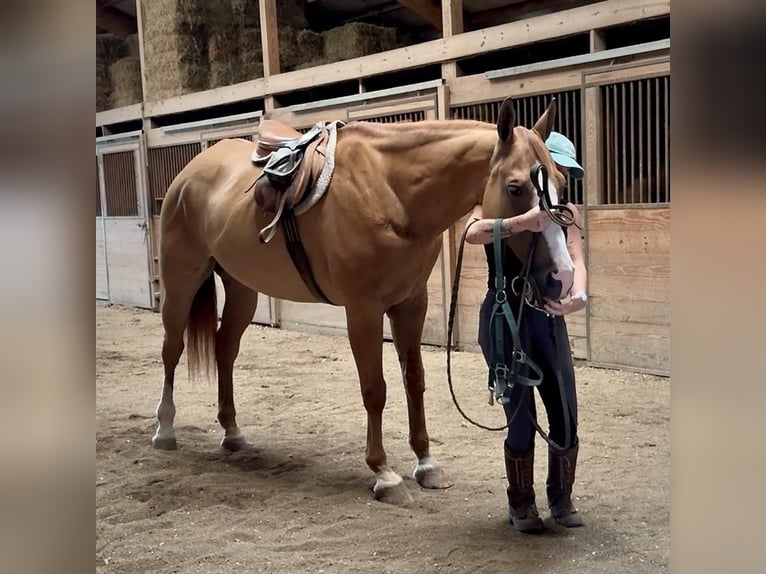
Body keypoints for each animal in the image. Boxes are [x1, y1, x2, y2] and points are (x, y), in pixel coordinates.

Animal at [152, 99, 568, 508]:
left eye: (562, 182)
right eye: (515, 188)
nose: (560, 276)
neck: (391, 190)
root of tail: (188, 174)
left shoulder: (411, 304)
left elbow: (414, 380)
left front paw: (427, 464)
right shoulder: (363, 310)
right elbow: (375, 389)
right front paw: (384, 474)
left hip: (242, 289)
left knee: (225, 349)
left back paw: (232, 431)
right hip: (181, 280)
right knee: (172, 349)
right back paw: (165, 429)